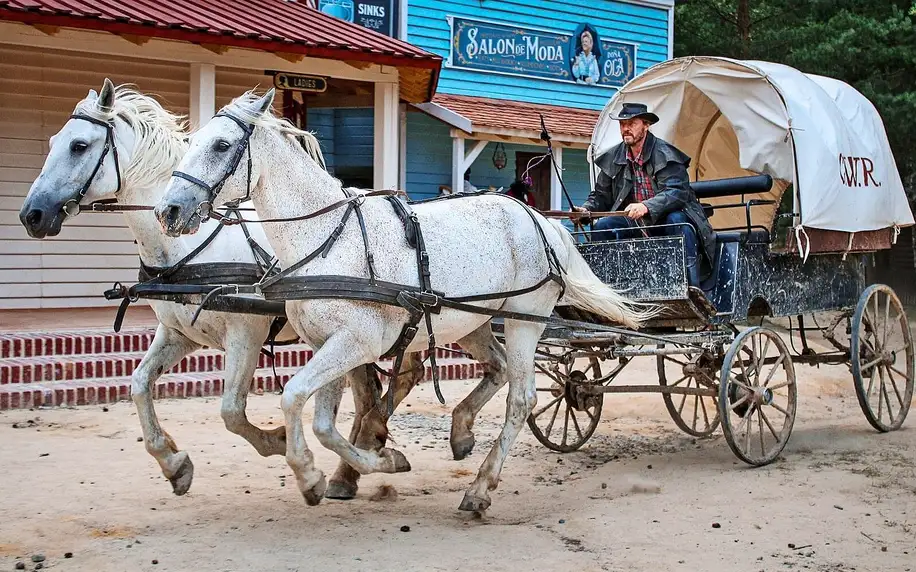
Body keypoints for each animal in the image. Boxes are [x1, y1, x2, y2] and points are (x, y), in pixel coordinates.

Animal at [16, 78, 428, 498]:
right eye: (53, 141)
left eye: (79, 146)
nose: (32, 215)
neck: (189, 247)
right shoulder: (178, 333)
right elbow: (139, 385)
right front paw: (173, 463)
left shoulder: (246, 331)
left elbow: (231, 410)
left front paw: (279, 441)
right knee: (381, 386)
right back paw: (355, 464)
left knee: (391, 381)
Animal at [154, 90, 648, 512]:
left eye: (221, 145)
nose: (168, 211)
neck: (325, 239)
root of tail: (541, 220)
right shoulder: (328, 343)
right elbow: (322, 422)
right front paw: (367, 463)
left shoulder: (354, 341)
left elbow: (294, 397)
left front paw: (316, 474)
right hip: (474, 321)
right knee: (499, 368)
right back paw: (460, 432)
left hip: (525, 318)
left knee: (522, 397)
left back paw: (480, 487)